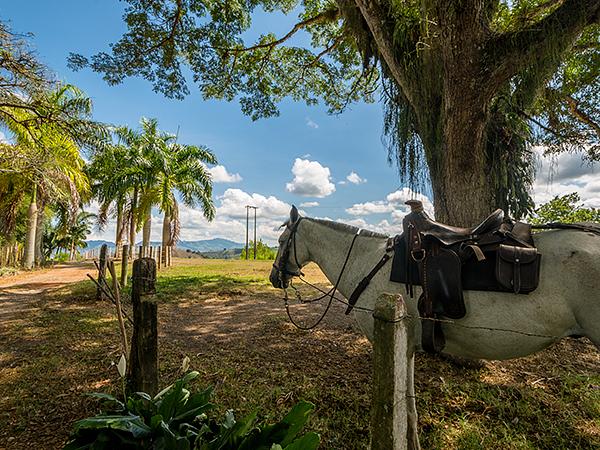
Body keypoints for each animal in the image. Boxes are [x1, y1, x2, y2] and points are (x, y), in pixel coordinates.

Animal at [270, 206, 600, 448]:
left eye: (282, 241)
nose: (274, 277)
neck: (368, 262)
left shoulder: (393, 340)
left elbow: (402, 403)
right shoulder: (408, 344)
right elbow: (410, 403)